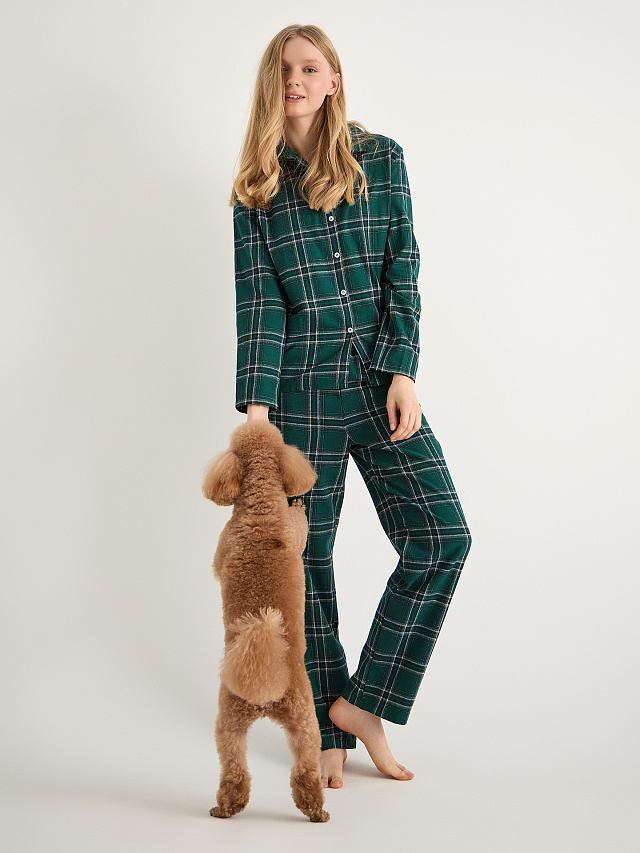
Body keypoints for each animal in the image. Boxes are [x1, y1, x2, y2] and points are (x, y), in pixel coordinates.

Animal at [202, 420, 329, 822]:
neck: (259, 513)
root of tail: (264, 699)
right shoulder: (293, 534)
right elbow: (301, 526)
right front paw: (299, 503)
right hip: (303, 724)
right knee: (298, 770)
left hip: (239, 727)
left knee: (239, 770)